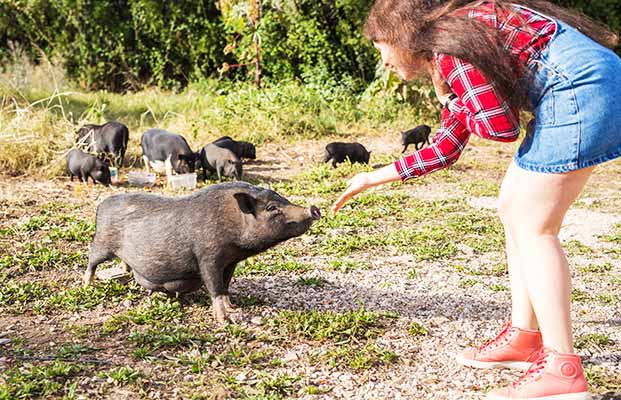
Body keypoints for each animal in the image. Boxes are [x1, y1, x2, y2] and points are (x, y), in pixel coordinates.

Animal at [83, 183, 322, 324]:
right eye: (272, 208)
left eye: (284, 198)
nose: (314, 208)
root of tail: (101, 205)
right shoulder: (208, 257)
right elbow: (214, 286)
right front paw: (224, 321)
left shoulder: (231, 262)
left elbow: (225, 286)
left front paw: (233, 309)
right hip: (102, 243)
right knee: (91, 259)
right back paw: (88, 285)